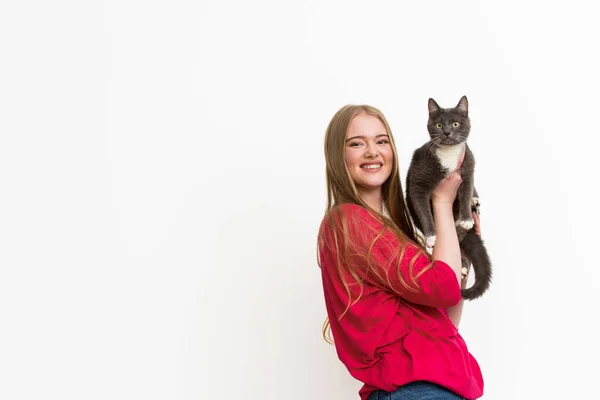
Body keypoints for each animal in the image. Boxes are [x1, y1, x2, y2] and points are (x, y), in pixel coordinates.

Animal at [406, 94, 490, 300]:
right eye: (438, 125)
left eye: (455, 124)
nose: (446, 132)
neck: (449, 155)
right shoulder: (418, 183)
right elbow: (424, 211)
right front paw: (431, 236)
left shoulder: (468, 168)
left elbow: (466, 193)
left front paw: (467, 218)